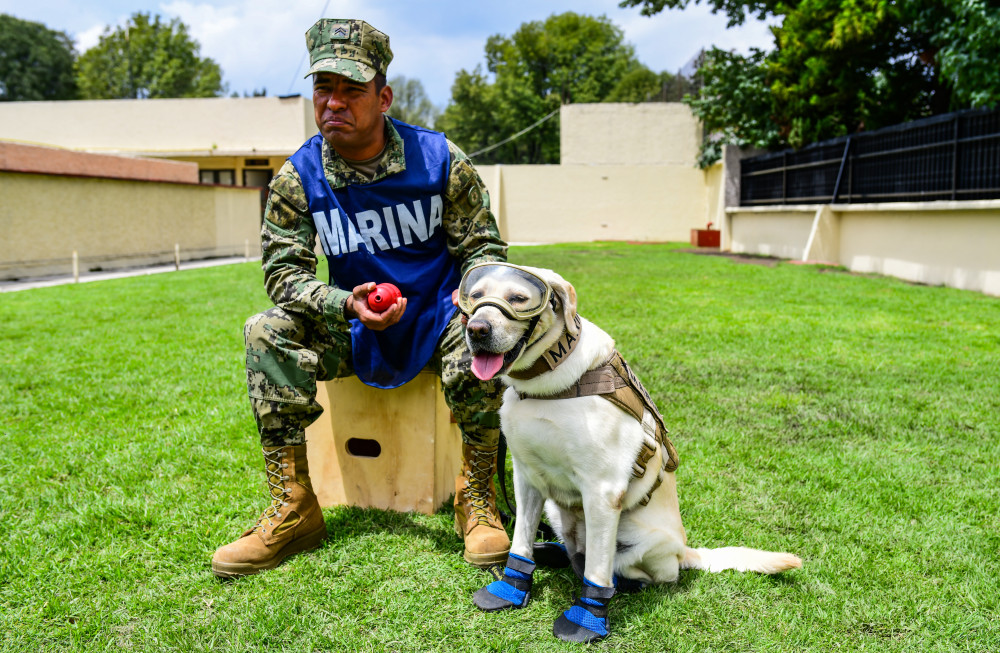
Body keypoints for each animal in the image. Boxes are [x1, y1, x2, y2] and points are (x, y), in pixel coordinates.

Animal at [458, 262, 800, 644]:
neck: (542, 386)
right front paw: (510, 588)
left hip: (641, 540)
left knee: (637, 570)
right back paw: (555, 551)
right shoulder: (527, 477)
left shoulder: (603, 491)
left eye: (518, 299)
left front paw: (586, 620)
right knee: (575, 549)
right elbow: (520, 541)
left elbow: (596, 570)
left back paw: (625, 582)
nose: (477, 329)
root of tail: (687, 551)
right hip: (557, 509)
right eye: (474, 295)